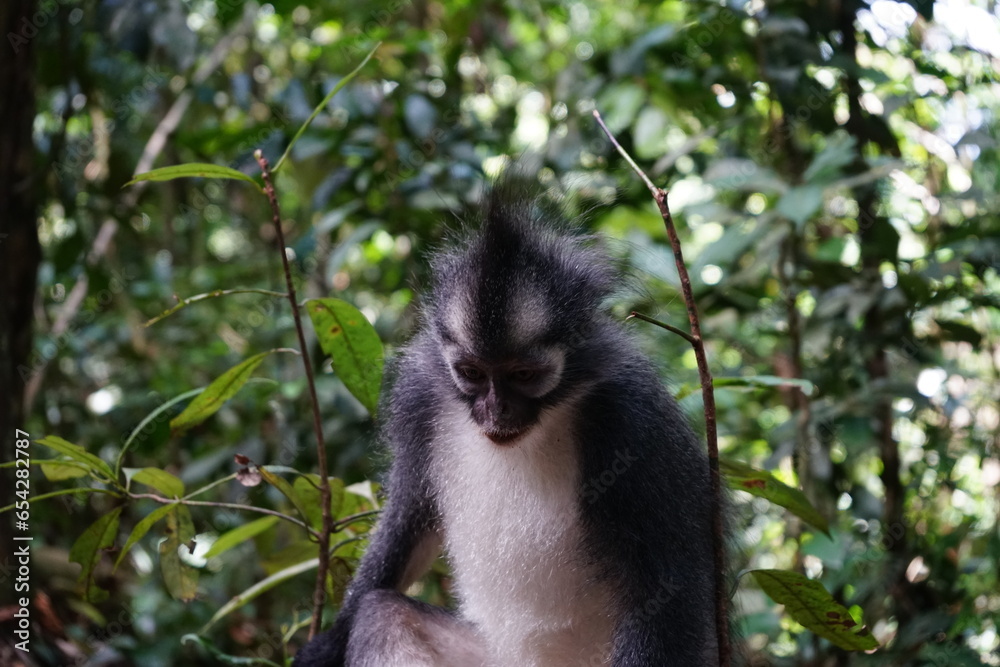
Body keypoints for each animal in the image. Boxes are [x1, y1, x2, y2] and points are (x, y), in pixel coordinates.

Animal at [293, 174, 721, 667]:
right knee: (382, 614)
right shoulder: (421, 393)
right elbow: (409, 517)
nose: (495, 410)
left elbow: (668, 587)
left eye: (524, 376)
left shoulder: (633, 420)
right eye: (473, 373)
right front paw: (324, 647)